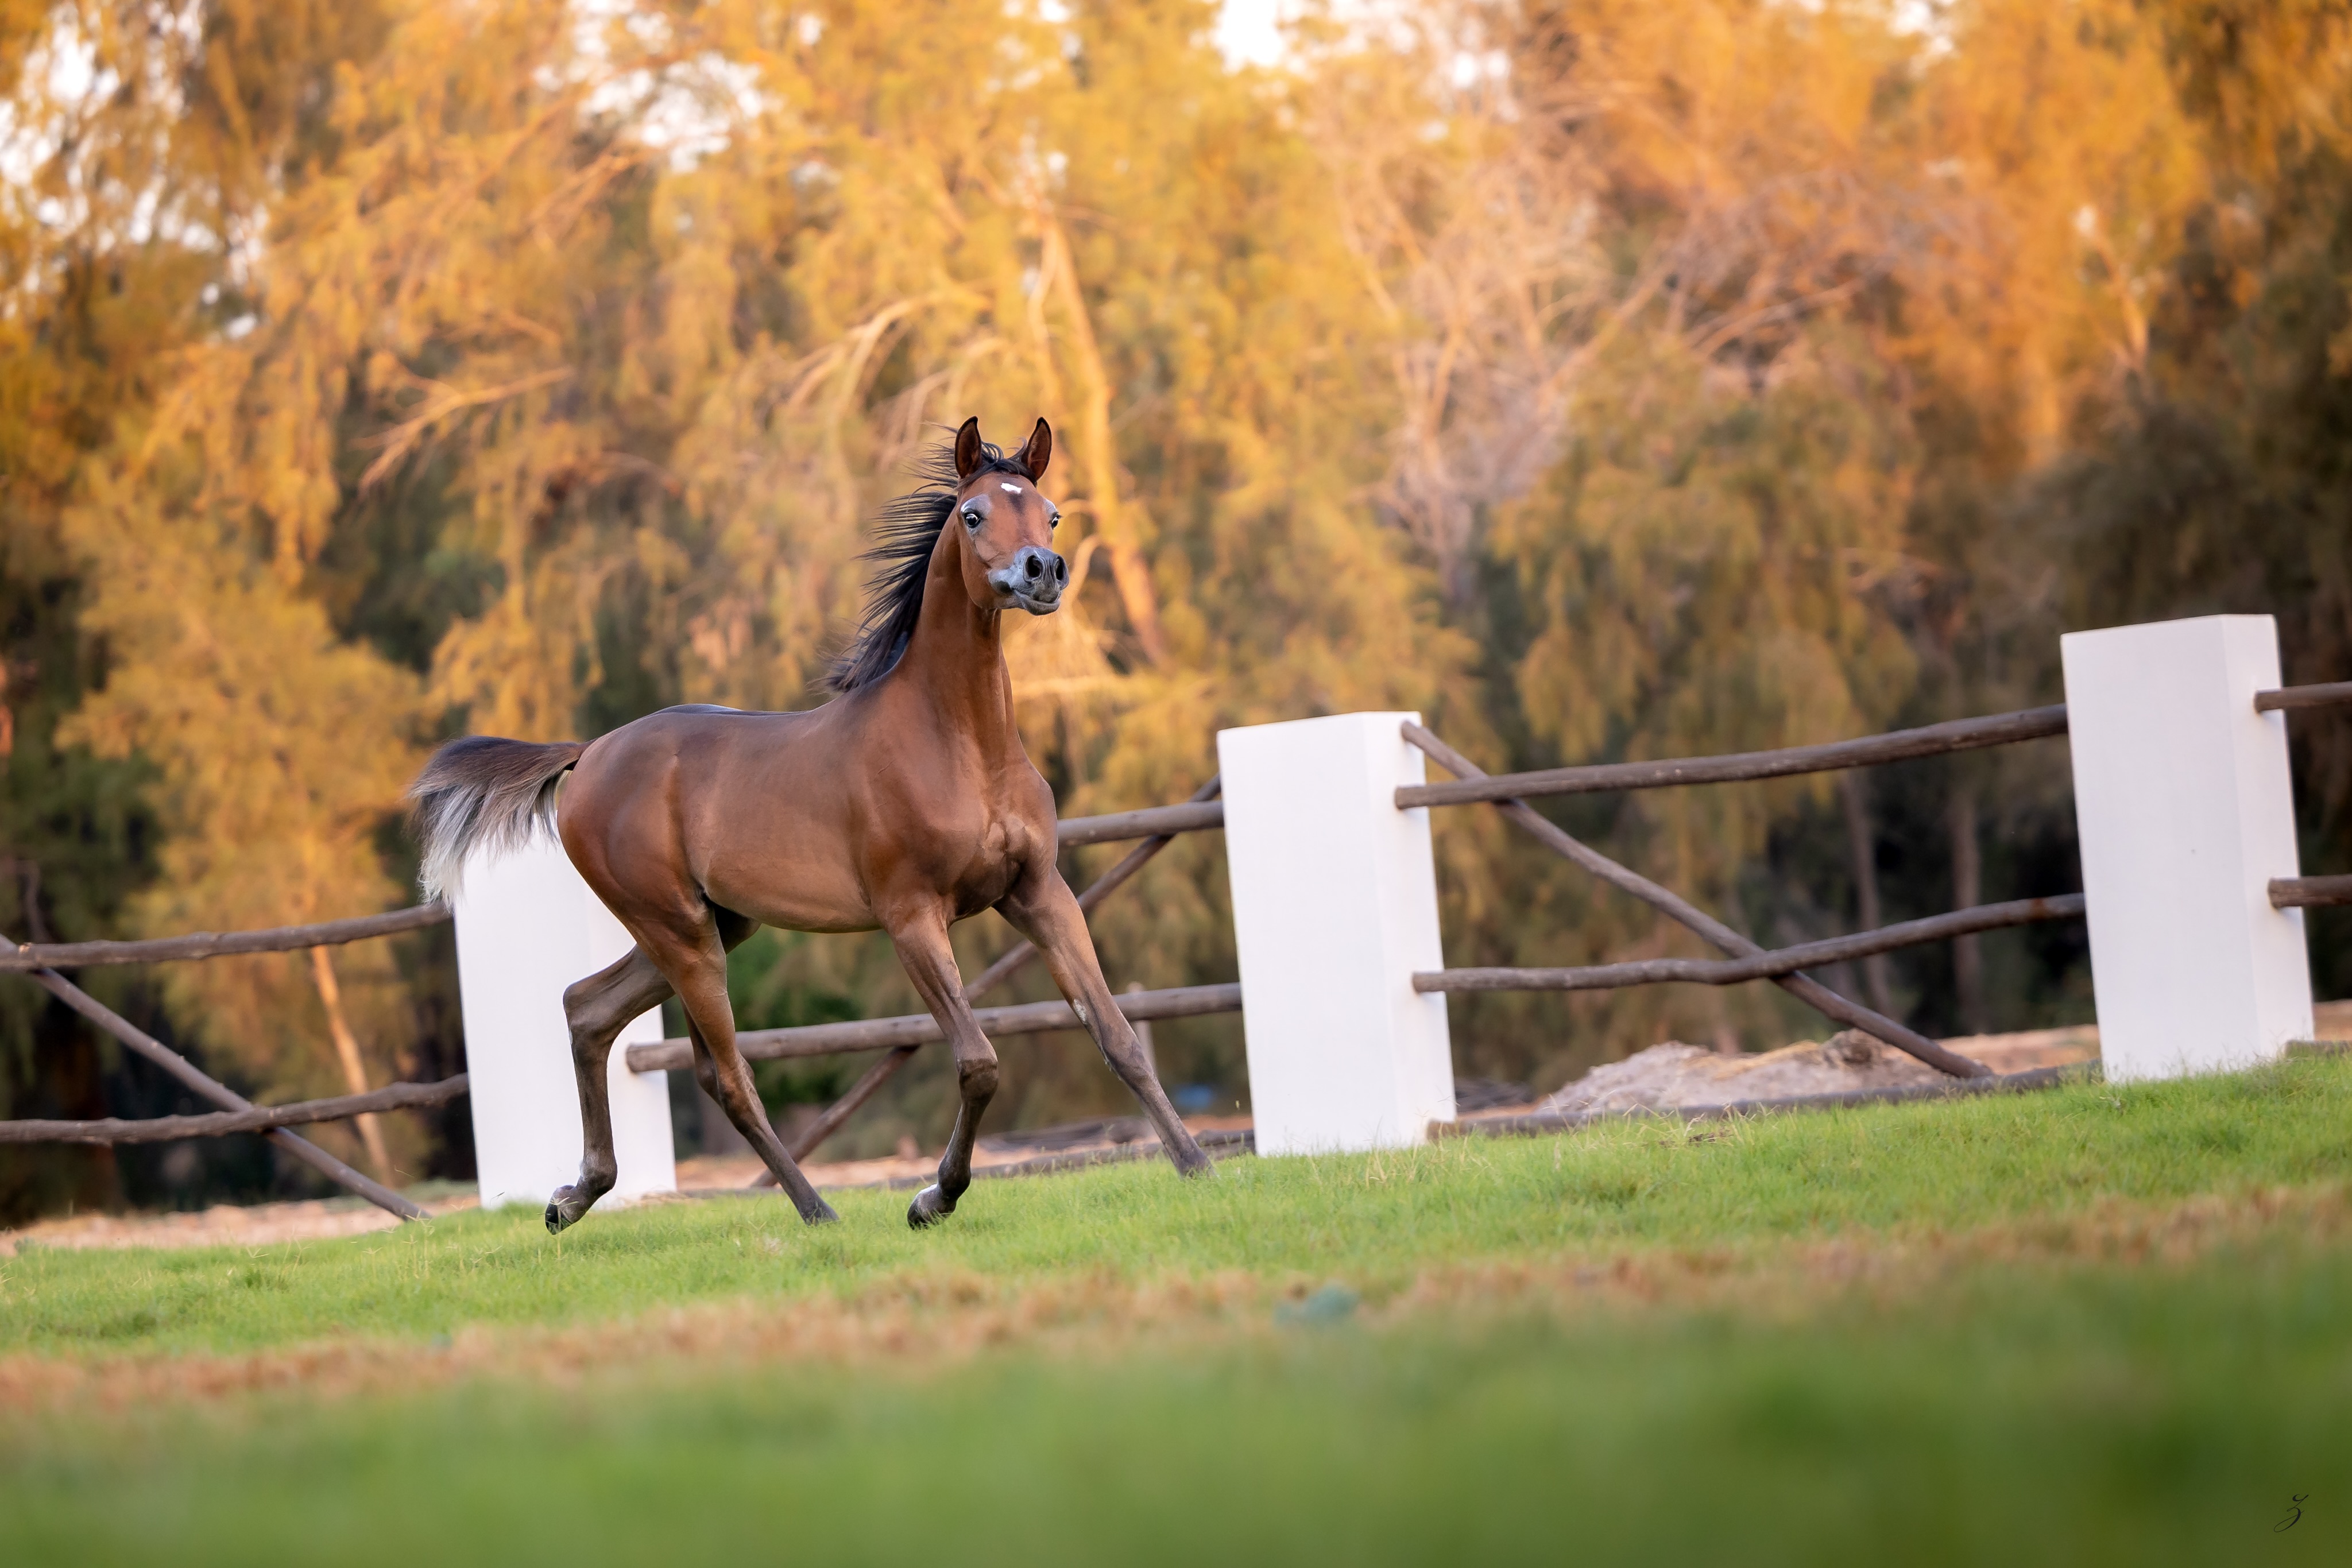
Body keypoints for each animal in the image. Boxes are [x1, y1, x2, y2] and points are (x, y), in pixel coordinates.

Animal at [409, 417, 1213, 1232]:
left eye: (1050, 514)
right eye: (973, 514)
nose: (1042, 573)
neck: (963, 744)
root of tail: (587, 754)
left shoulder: (1039, 892)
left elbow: (1116, 1034)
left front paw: (1198, 1165)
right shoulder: (911, 917)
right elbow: (979, 1062)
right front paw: (933, 1197)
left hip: (714, 926)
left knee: (589, 1008)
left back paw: (574, 1196)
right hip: (681, 935)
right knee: (727, 1075)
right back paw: (816, 1210)